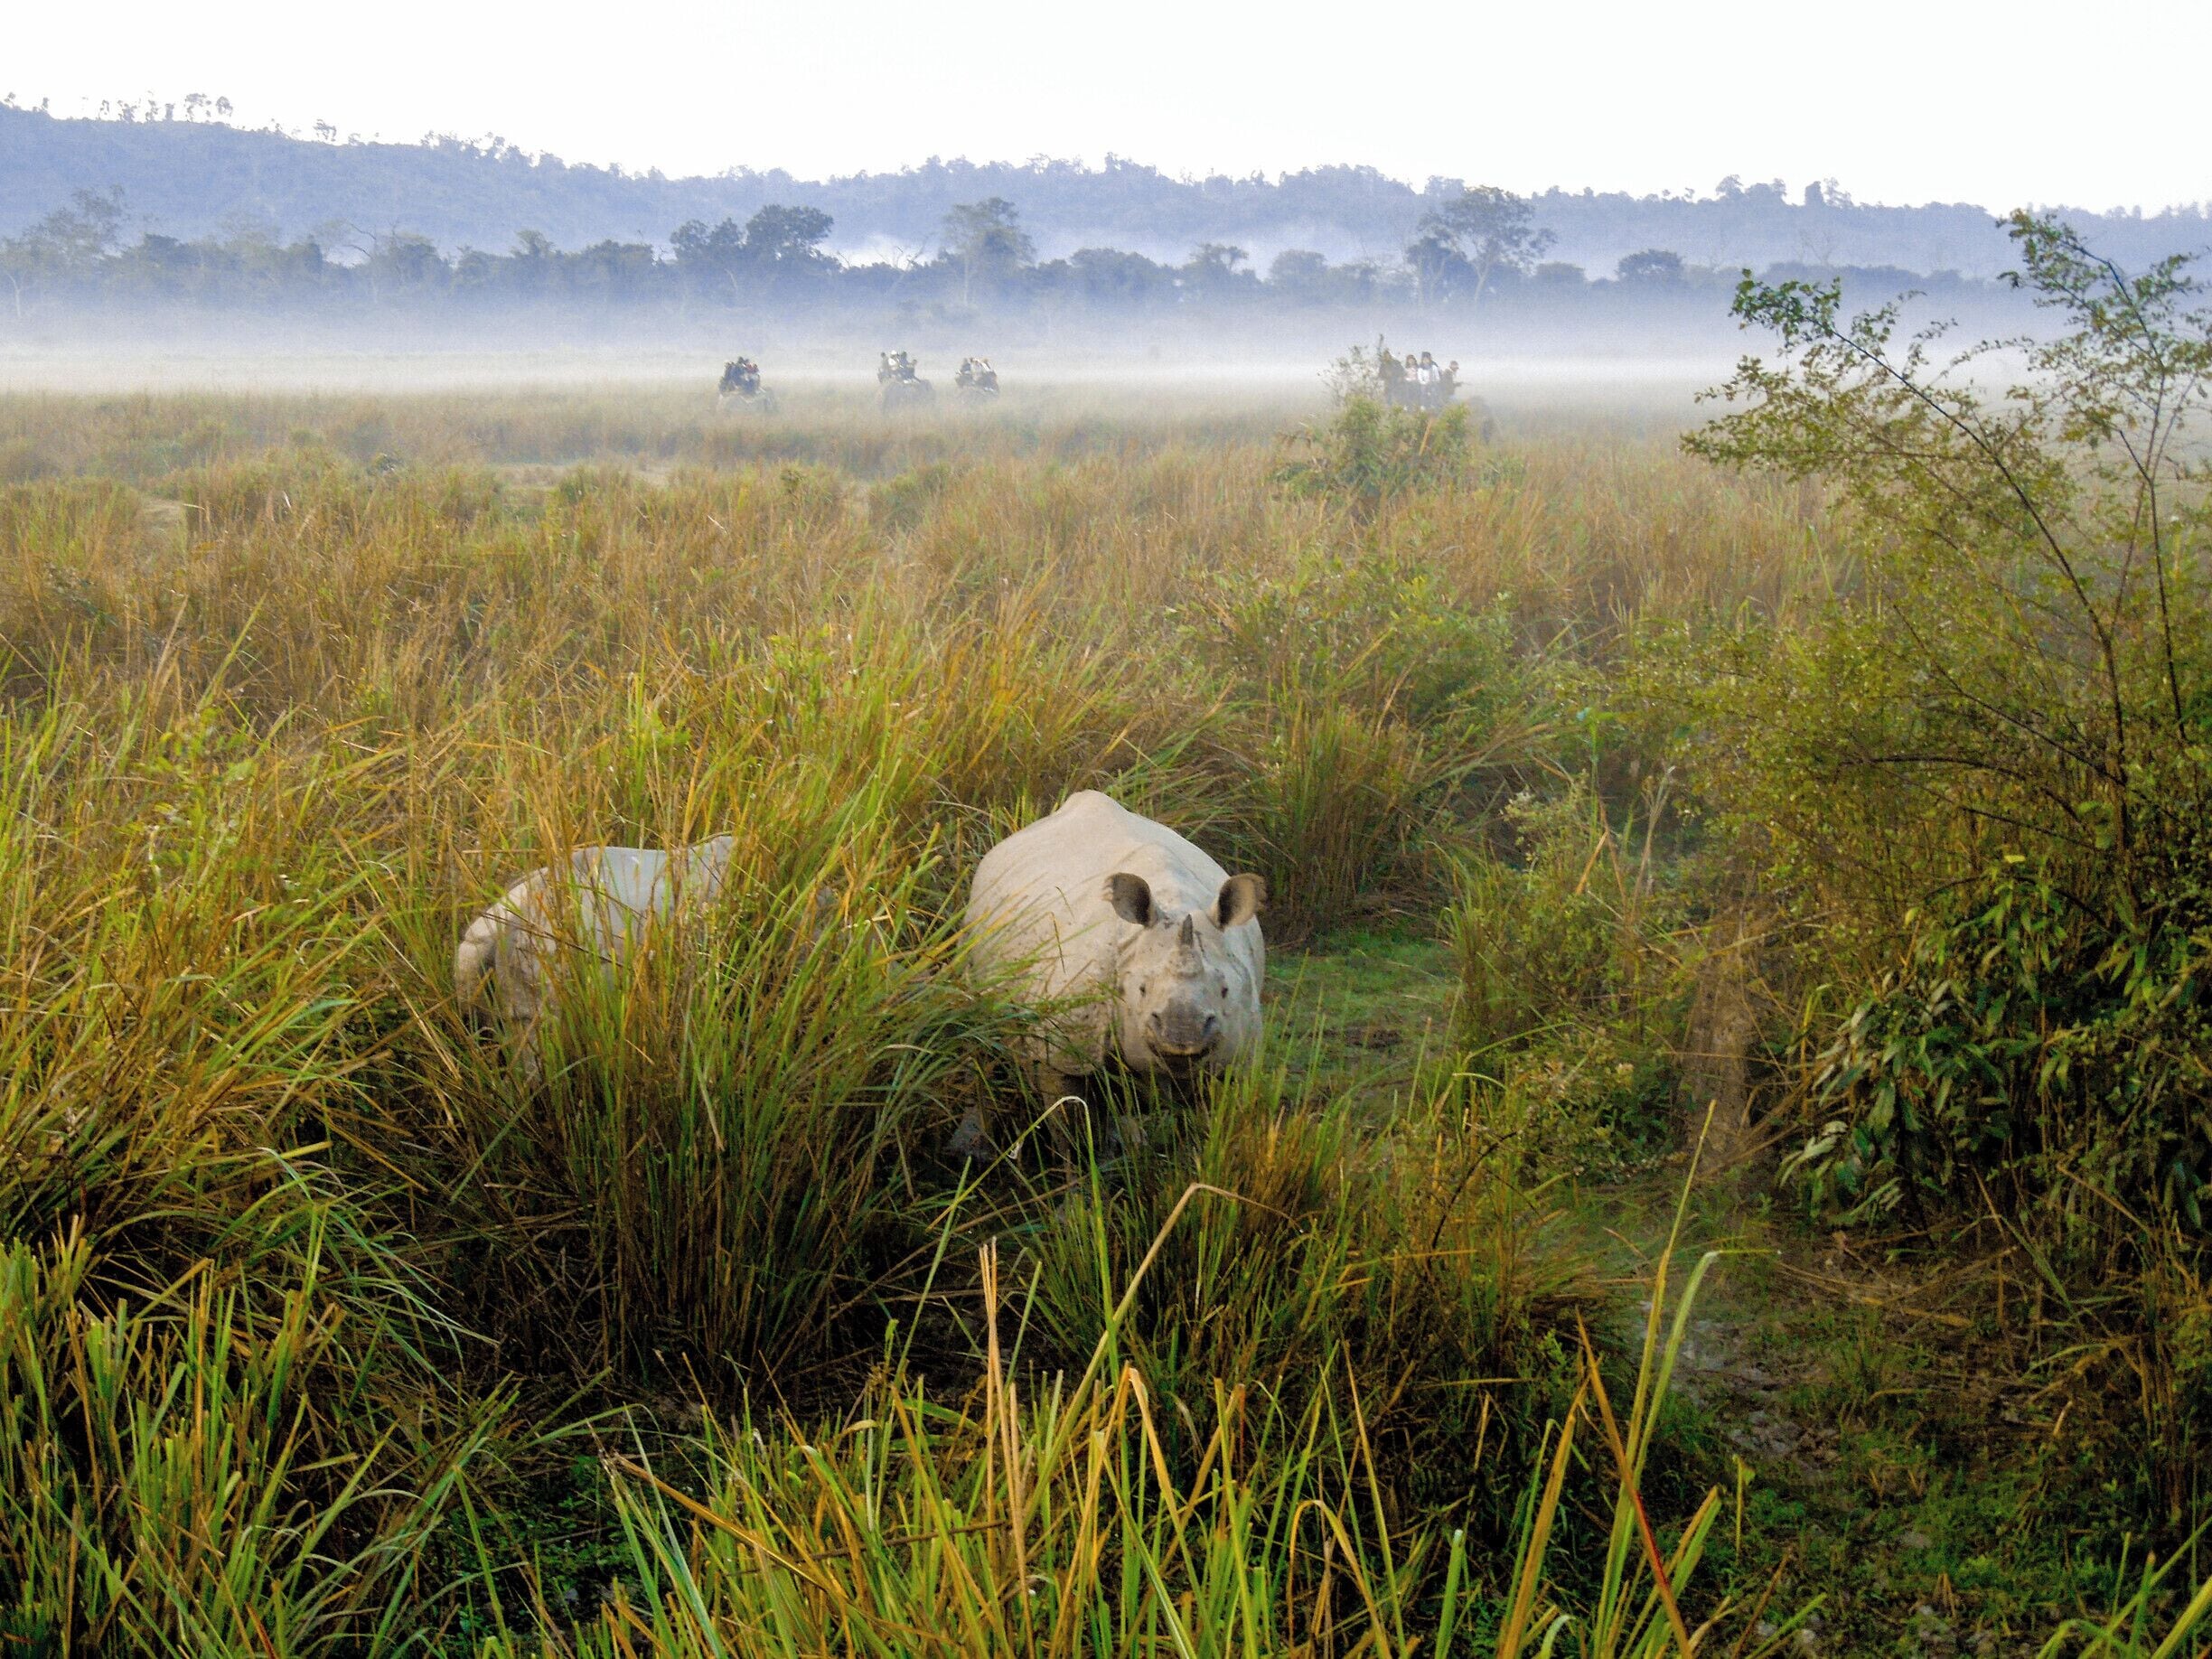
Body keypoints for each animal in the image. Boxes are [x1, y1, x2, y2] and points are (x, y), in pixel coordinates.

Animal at [960, 790, 1266, 1153]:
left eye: (1224, 991)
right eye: (1142, 990)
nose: (1182, 1037)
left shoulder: (1237, 1057)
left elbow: (1214, 1129)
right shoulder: (1062, 1046)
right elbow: (1073, 1130)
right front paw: (1078, 1168)